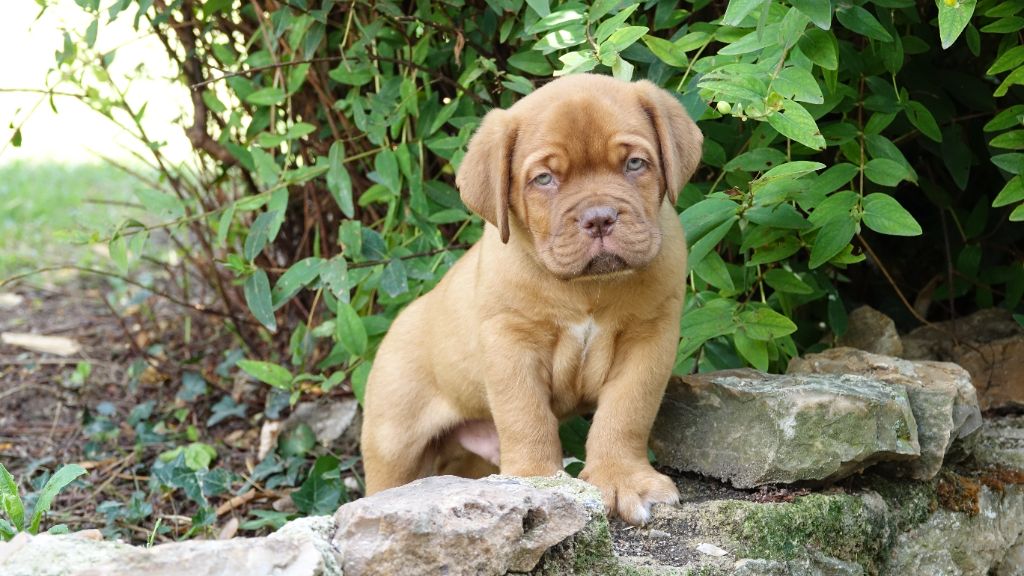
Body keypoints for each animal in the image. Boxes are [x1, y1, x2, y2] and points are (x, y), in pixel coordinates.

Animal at [361, 73, 702, 525]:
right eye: (544, 179)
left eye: (634, 164)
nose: (599, 218)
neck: (586, 287)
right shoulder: (511, 342)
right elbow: (526, 416)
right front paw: (537, 482)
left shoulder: (649, 338)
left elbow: (627, 411)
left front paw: (622, 478)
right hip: (392, 444)